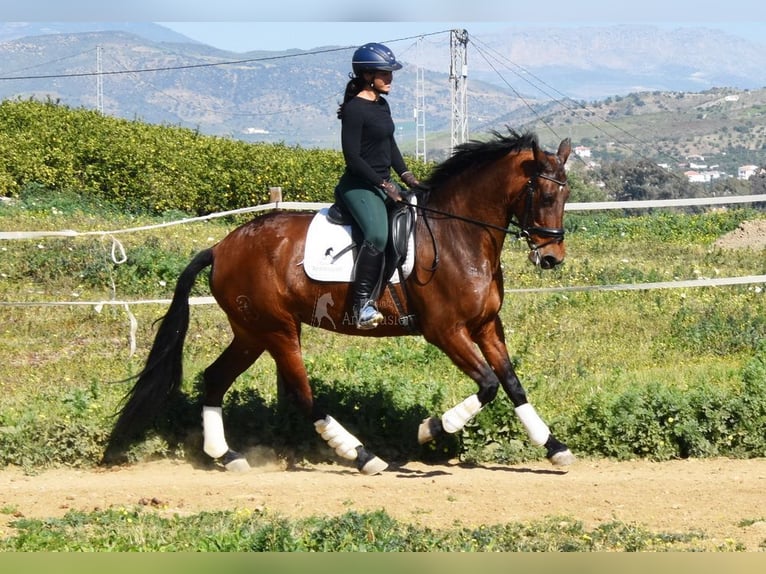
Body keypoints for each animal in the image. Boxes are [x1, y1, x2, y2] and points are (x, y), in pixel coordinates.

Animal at [105, 130, 580, 476]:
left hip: (251, 331)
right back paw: (362, 456)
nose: (551, 258)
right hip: (277, 329)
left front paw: (555, 448)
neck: (458, 235)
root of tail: (222, 247)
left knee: (214, 378)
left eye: (567, 193)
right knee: (302, 393)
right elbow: (487, 384)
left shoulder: (485, 326)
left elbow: (511, 383)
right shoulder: (445, 331)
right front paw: (429, 430)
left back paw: (227, 455)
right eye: (544, 195)